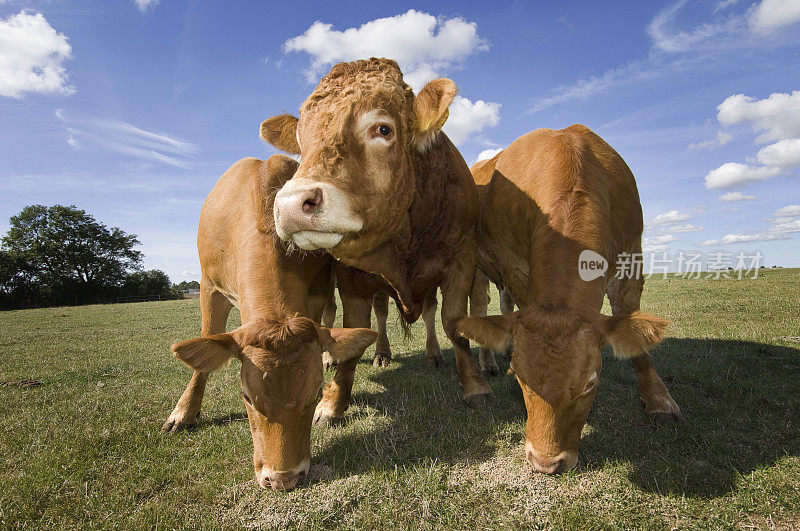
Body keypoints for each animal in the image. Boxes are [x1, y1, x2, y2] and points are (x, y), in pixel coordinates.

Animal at [162, 156, 378, 492]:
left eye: (316, 393)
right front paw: (183, 413)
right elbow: (206, 345)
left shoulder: (316, 287)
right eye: (246, 397)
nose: (283, 478)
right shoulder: (209, 286)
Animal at [260, 58, 494, 424]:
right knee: (379, 315)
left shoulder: (461, 260)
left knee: (429, 314)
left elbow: (454, 324)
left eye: (383, 129)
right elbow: (355, 332)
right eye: (300, 141)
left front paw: (475, 387)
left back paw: (433, 354)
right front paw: (332, 403)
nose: (291, 204)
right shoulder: (350, 277)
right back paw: (378, 354)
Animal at [460, 127, 680, 476]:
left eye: (591, 383)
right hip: (476, 266)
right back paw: (488, 364)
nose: (546, 462)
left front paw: (658, 401)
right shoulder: (516, 269)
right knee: (480, 306)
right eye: (520, 378)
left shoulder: (632, 263)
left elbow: (636, 339)